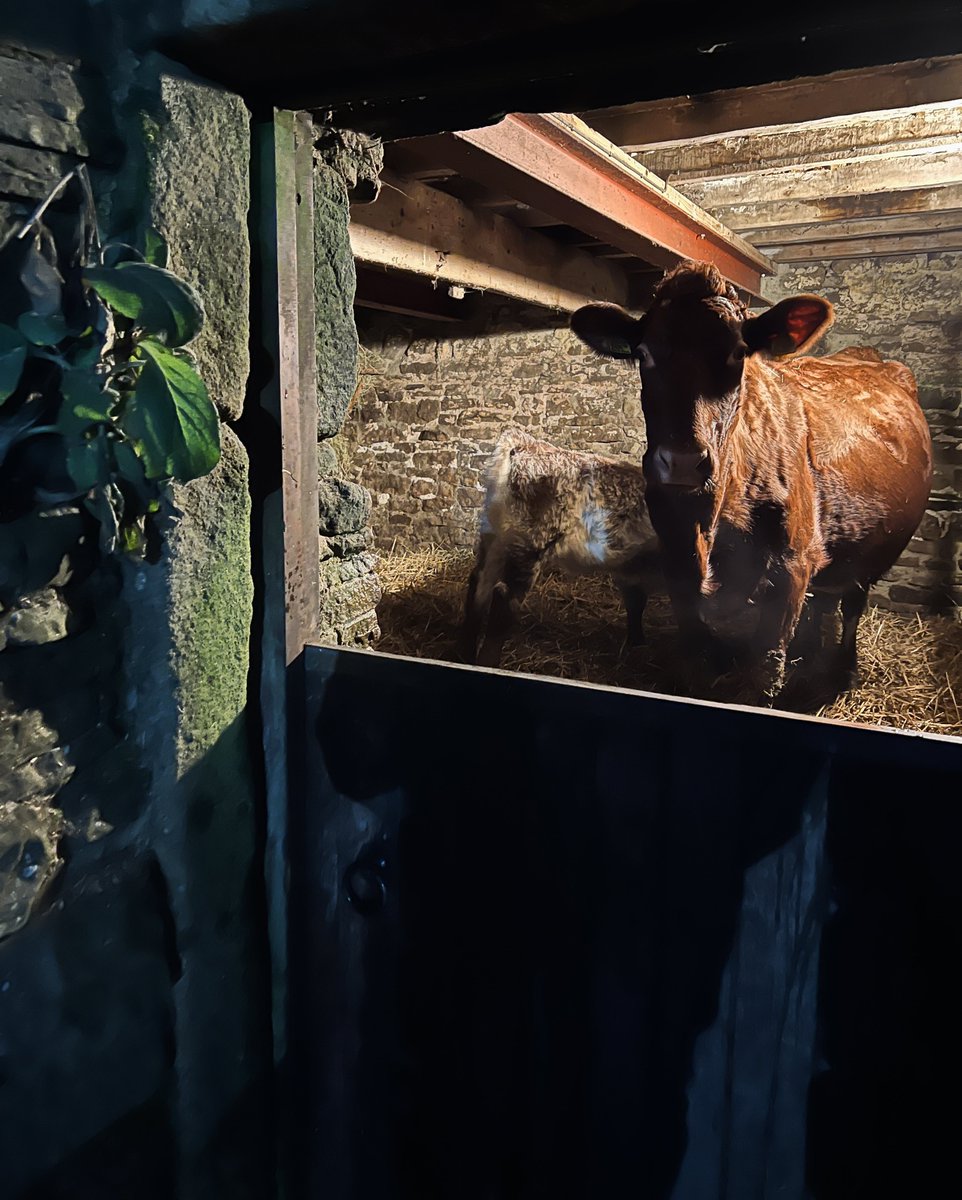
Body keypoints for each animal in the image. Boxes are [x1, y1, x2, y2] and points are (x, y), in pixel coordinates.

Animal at [458, 427, 662, 667]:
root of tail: (524, 444)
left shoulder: (629, 569)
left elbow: (636, 603)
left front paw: (637, 645)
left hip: (494, 539)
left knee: (478, 587)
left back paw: (465, 657)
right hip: (529, 546)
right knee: (503, 597)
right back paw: (488, 663)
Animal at [570, 258, 930, 700]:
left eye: (739, 353)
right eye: (643, 353)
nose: (682, 463)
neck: (711, 521)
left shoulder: (791, 568)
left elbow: (765, 671)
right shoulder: (677, 563)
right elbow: (696, 656)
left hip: (874, 553)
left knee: (852, 605)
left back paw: (843, 671)